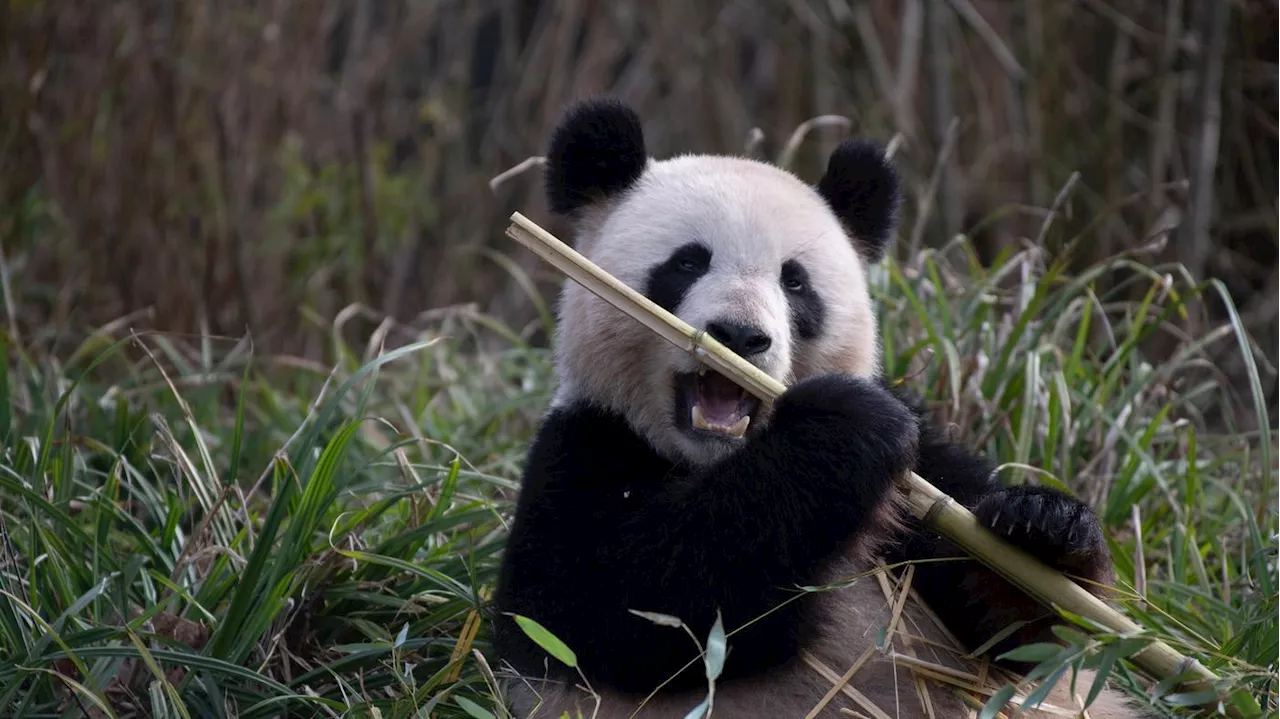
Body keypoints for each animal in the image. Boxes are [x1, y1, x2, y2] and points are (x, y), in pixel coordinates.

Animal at [488, 96, 1152, 716]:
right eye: (687, 261)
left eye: (795, 281)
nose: (740, 336)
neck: (714, 460)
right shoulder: (583, 448)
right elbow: (618, 607)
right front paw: (842, 427)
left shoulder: (926, 477)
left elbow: (1015, 639)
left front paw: (1041, 528)